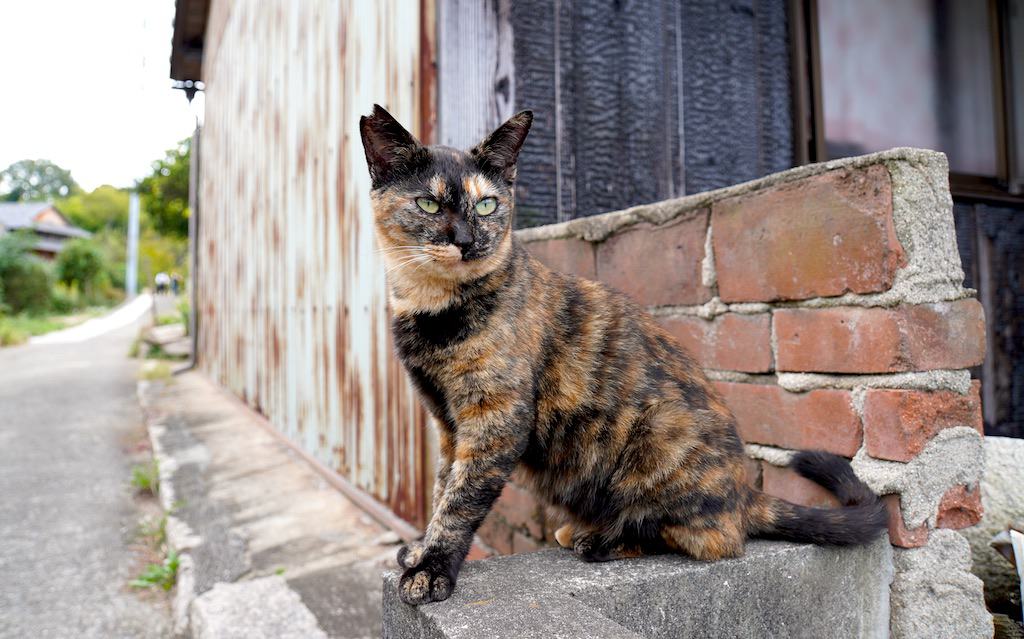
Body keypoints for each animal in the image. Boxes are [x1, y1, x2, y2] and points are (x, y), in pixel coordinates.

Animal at [360, 103, 888, 602]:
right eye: (428, 203)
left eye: (487, 205)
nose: (467, 241)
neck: (431, 308)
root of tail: (745, 491)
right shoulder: (447, 422)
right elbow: (441, 487)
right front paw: (422, 550)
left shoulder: (495, 416)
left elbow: (462, 498)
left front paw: (433, 569)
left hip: (657, 436)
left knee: (710, 539)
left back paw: (601, 538)